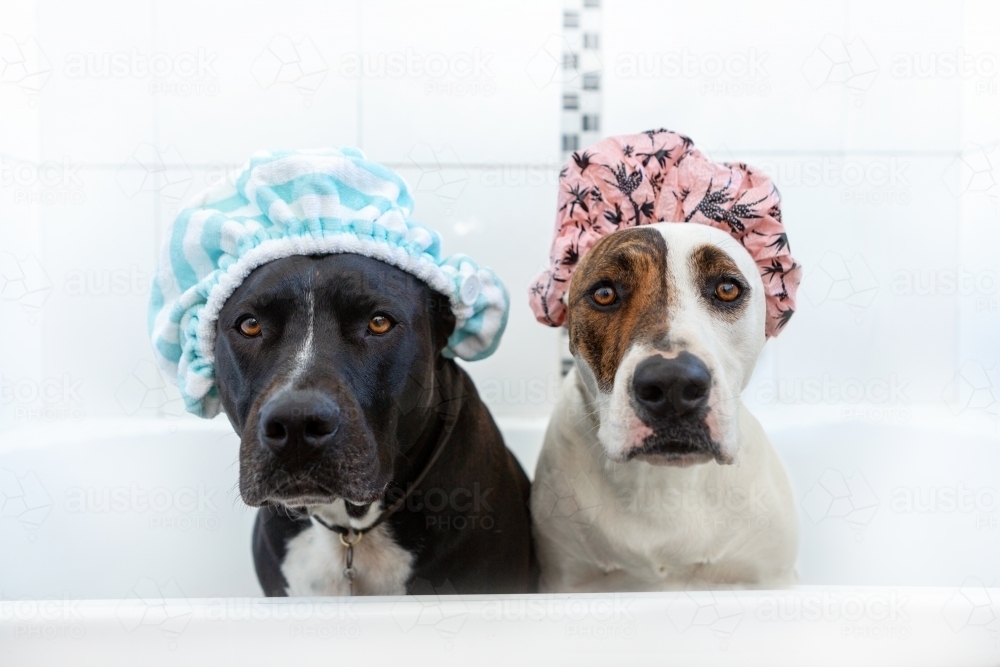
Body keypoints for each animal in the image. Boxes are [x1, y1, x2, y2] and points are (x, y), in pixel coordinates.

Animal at [532, 222, 796, 592]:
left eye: (727, 288)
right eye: (604, 293)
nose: (674, 384)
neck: (664, 481)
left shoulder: (772, 577)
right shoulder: (567, 579)